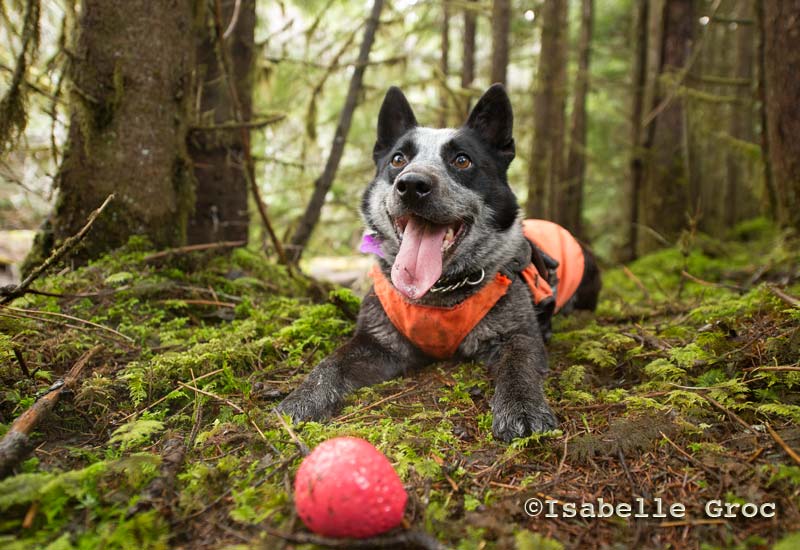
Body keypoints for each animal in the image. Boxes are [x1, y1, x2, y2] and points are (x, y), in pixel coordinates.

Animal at [280, 84, 600, 442]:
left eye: (462, 160)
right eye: (398, 159)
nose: (411, 185)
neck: (439, 291)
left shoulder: (518, 335)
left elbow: (519, 365)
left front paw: (522, 407)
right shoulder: (377, 342)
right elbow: (330, 363)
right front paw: (303, 398)